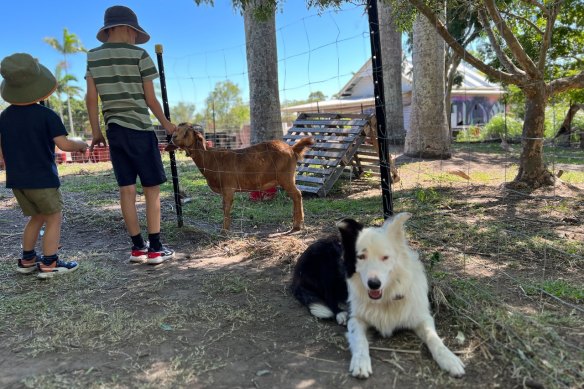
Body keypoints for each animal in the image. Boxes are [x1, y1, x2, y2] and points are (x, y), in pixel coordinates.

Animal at [168, 124, 314, 232]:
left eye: (187, 132)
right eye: (176, 129)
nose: (173, 137)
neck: (211, 158)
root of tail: (292, 149)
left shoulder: (228, 188)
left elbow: (226, 208)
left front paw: (224, 231)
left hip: (286, 177)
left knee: (297, 195)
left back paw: (297, 225)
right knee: (296, 196)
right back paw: (296, 222)